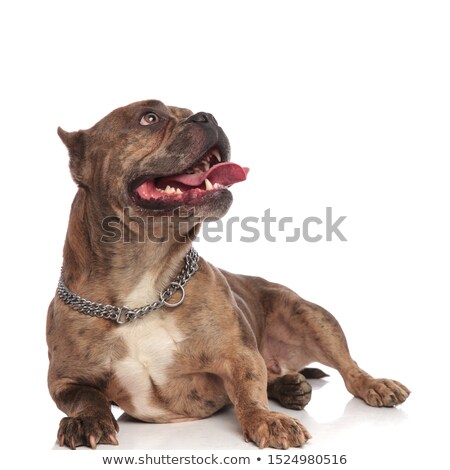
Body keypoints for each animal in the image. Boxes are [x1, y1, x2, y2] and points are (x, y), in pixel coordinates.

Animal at [47, 99, 410, 448]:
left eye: (190, 112)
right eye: (149, 117)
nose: (207, 116)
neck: (143, 287)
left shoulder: (240, 353)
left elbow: (248, 389)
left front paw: (265, 420)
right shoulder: (64, 380)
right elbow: (87, 397)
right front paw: (87, 421)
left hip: (310, 316)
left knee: (347, 367)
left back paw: (373, 385)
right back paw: (288, 386)